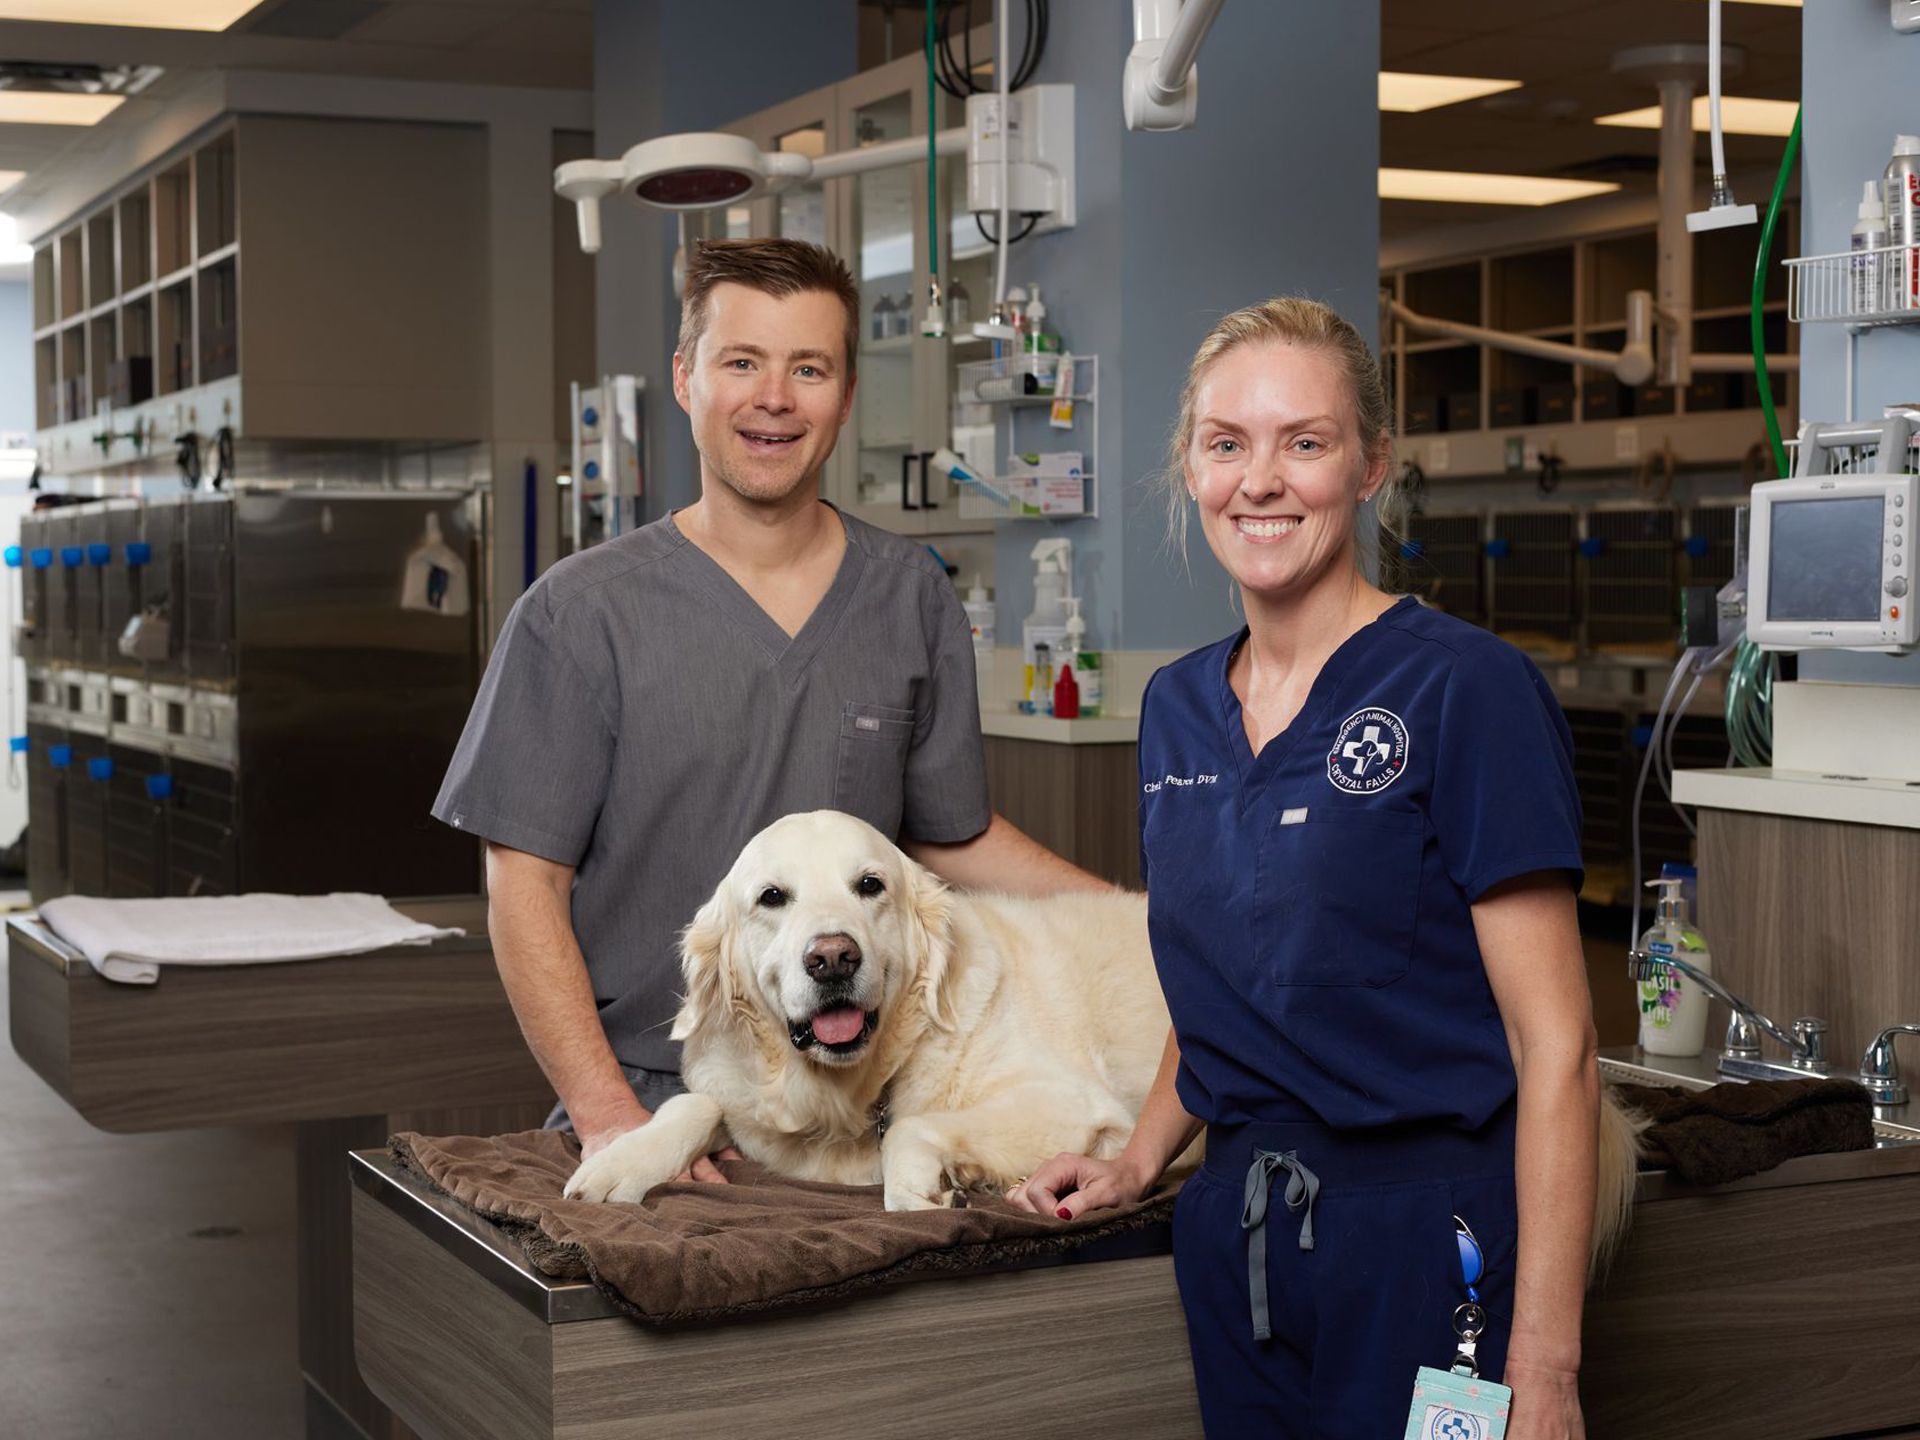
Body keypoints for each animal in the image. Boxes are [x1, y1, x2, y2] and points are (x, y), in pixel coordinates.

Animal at [560, 814, 1643, 1274]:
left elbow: (915, 1137)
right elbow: (695, 1102)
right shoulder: (761, 1115)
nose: (833, 959)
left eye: (870, 886)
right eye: (771, 900)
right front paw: (620, 1161)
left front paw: (931, 1190)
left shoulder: (1071, 1104)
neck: (855, 1086)